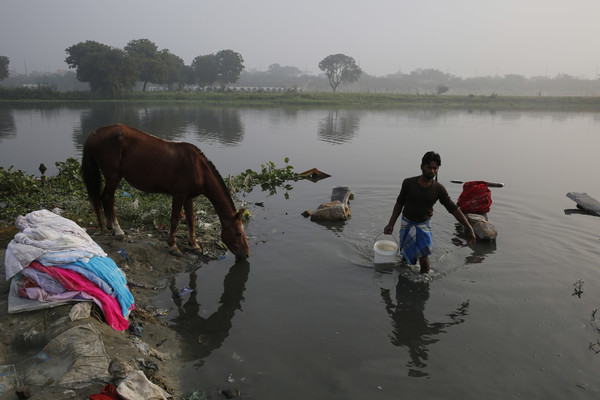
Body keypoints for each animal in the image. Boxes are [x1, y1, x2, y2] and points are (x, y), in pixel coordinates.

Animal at [80, 124, 248, 260]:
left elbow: (191, 220)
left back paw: (111, 227)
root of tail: (95, 132)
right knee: (107, 198)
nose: (246, 254)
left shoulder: (189, 197)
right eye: (238, 233)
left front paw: (194, 244)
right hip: (113, 176)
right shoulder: (179, 195)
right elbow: (174, 220)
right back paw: (118, 230)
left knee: (105, 199)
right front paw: (173, 246)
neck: (198, 168)